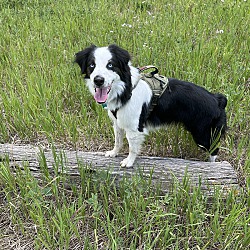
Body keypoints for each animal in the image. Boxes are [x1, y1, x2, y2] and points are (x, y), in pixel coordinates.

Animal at [74, 44, 227, 167]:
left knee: (214, 149)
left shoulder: (134, 127)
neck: (126, 89)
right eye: (92, 65)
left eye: (110, 65)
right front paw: (113, 153)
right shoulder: (118, 122)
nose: (98, 80)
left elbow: (132, 147)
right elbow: (118, 140)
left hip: (203, 133)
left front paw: (129, 162)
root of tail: (218, 100)